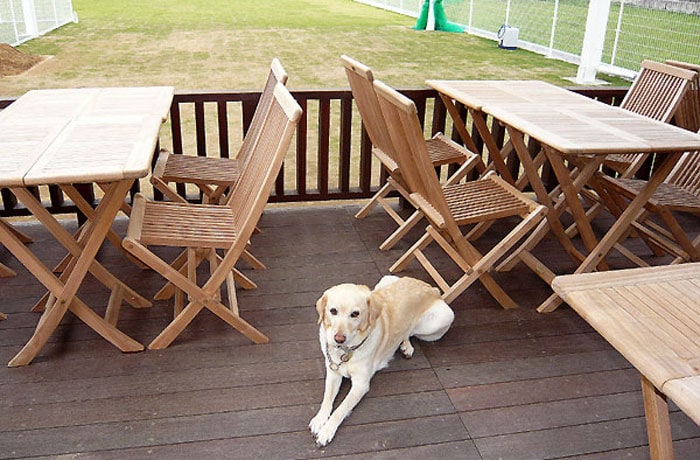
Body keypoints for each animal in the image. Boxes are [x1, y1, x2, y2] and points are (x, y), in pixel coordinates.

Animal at [308, 274, 454, 448]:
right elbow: (327, 398)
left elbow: (341, 409)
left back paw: (406, 345)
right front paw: (320, 419)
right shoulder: (333, 372)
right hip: (386, 279)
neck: (346, 351)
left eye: (355, 314)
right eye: (333, 311)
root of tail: (432, 288)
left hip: (440, 319)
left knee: (410, 331)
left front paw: (327, 430)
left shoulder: (361, 385)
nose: (339, 339)